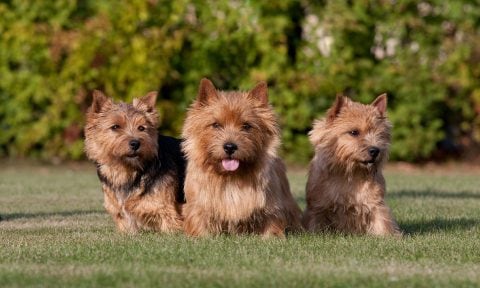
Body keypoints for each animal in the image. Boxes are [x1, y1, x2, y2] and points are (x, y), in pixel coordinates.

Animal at [182, 78, 302, 236]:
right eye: (216, 124)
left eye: (246, 126)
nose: (230, 147)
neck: (231, 177)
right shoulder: (197, 207)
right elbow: (199, 223)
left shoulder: (273, 208)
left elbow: (272, 225)